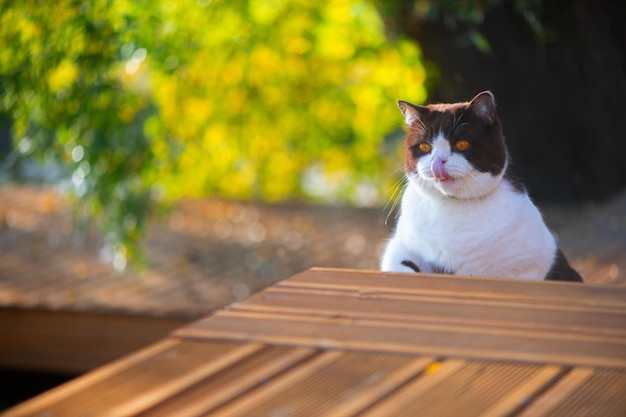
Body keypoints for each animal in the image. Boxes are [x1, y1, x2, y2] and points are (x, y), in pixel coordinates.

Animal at [378, 90, 584, 280]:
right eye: (424, 147)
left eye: (462, 144)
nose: (438, 161)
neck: (450, 205)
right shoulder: (401, 244)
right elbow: (399, 263)